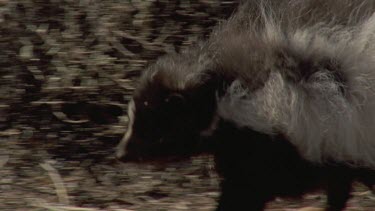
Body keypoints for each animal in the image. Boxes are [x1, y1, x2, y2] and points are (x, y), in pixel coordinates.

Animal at [117, 0, 375, 210]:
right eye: (132, 120)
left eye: (153, 130)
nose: (120, 153)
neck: (216, 91)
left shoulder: (270, 137)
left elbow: (248, 190)